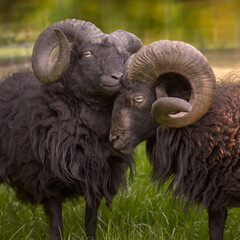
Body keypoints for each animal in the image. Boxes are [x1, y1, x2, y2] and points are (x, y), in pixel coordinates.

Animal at [0, 19, 142, 240]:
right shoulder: (47, 179)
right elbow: (56, 223)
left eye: (125, 57)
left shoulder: (98, 175)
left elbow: (91, 219)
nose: (118, 77)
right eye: (87, 54)